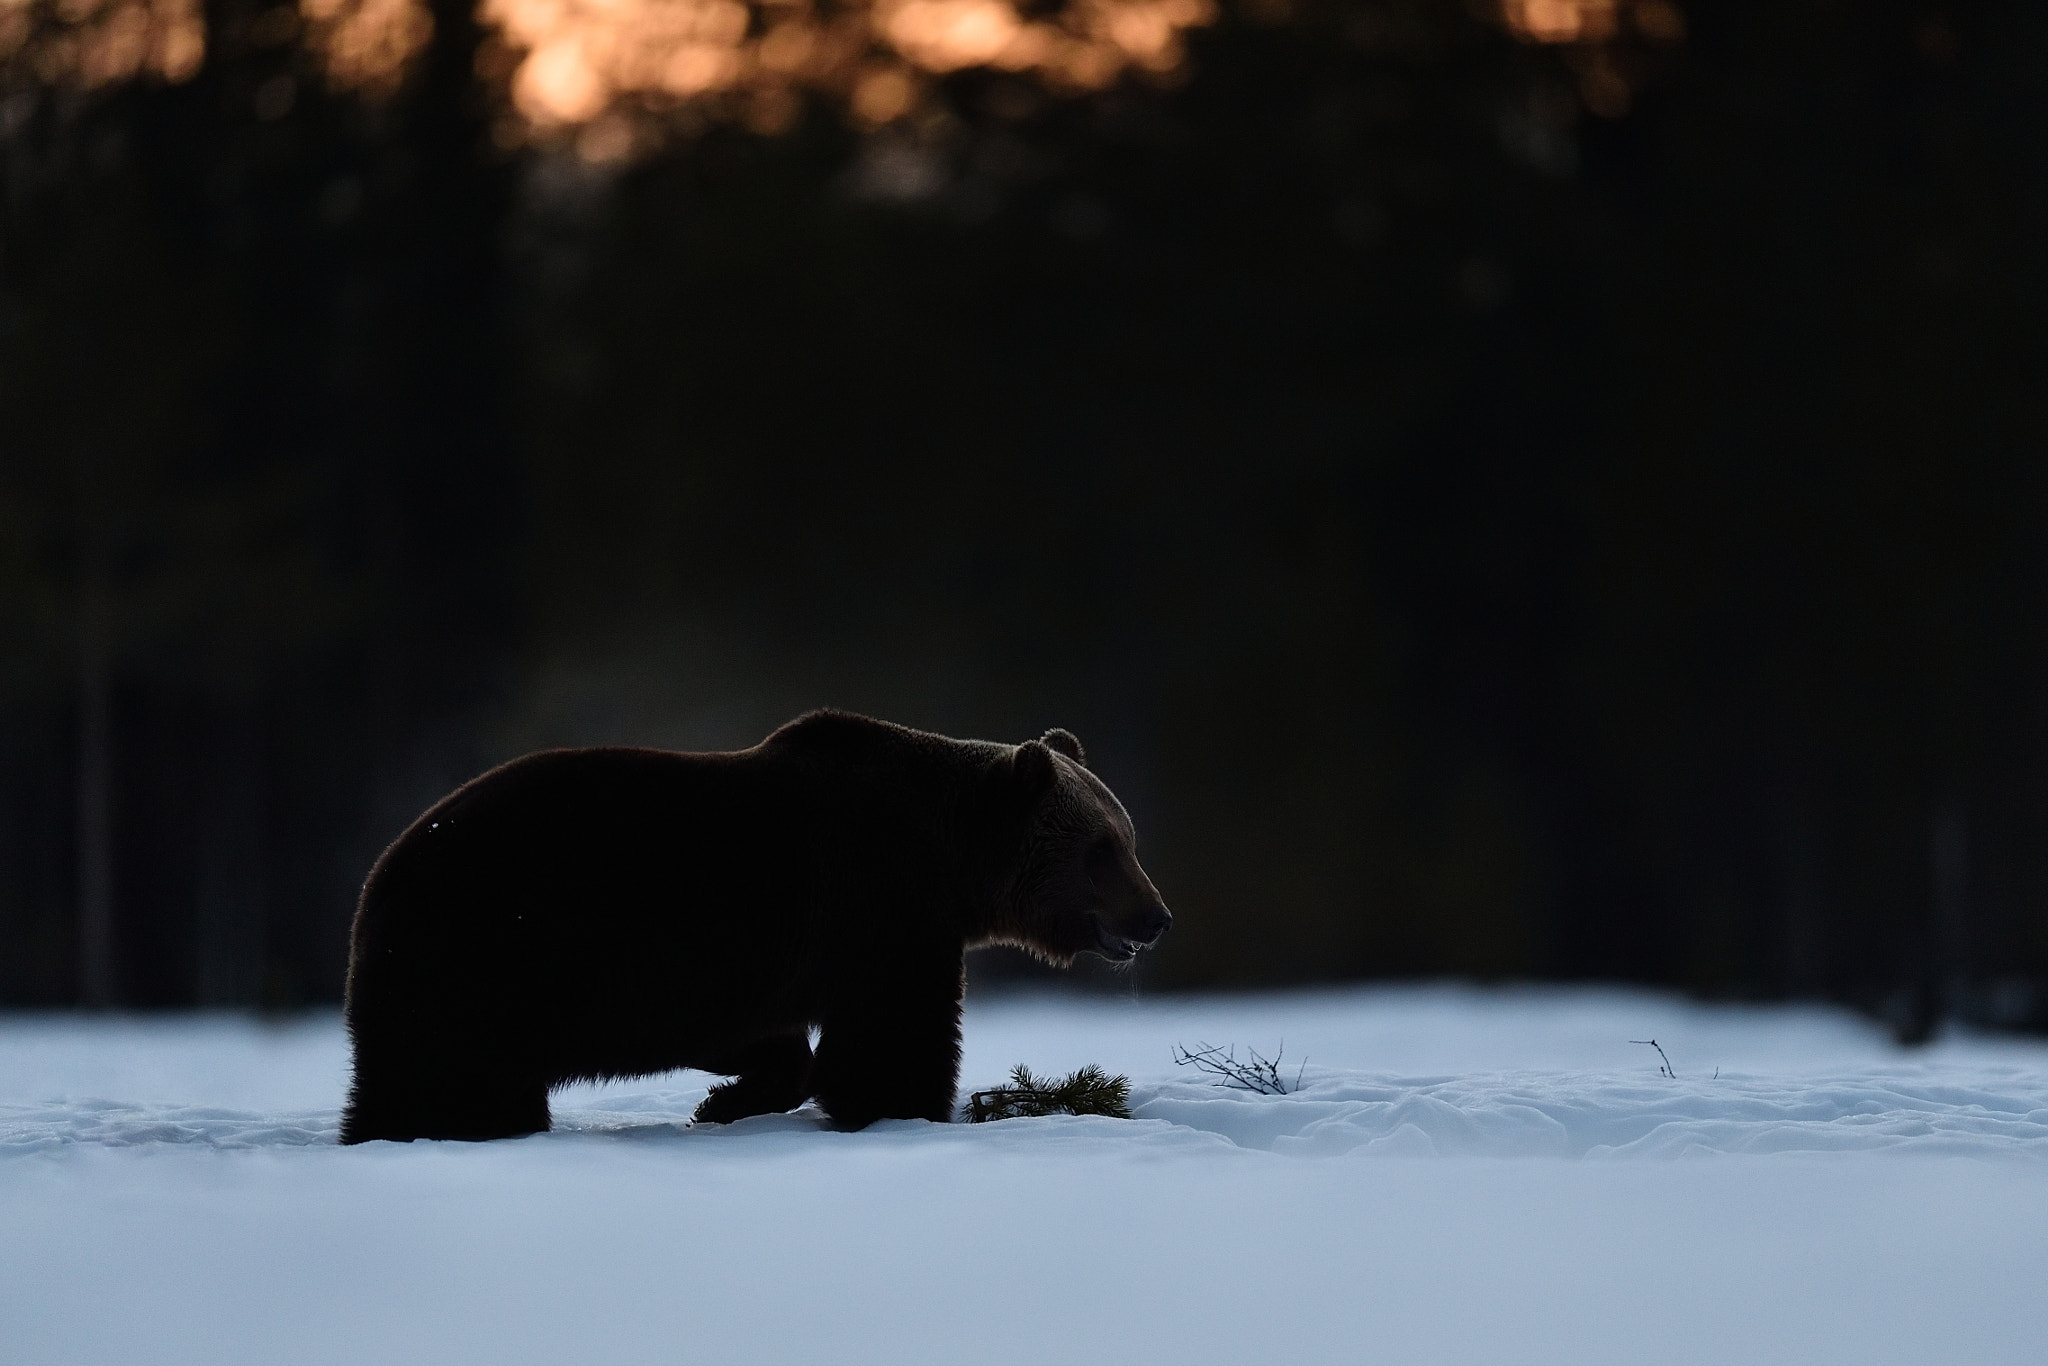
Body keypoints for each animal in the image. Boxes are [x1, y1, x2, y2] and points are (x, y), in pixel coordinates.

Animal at [335, 716, 1171, 1146]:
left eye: (1128, 838)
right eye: (1104, 847)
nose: (1157, 917)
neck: (949, 858)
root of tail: (378, 879)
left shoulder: (772, 955)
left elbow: (775, 1040)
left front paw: (723, 1100)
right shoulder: (882, 910)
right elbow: (892, 1039)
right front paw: (911, 1109)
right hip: (486, 956)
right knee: (446, 1078)